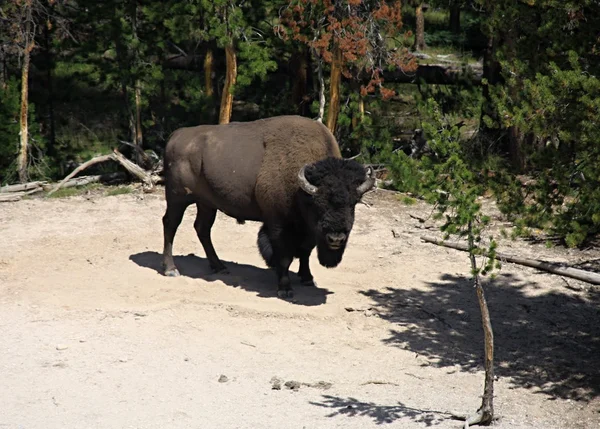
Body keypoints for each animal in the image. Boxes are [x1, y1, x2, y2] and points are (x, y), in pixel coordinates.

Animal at [159, 115, 376, 300]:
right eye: (319, 203)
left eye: (353, 203)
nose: (336, 239)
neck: (302, 191)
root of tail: (176, 135)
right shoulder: (278, 223)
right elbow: (284, 255)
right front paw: (285, 288)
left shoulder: (308, 231)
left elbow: (305, 252)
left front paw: (307, 278)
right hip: (177, 197)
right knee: (170, 224)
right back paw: (171, 269)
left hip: (206, 203)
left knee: (202, 228)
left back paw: (219, 266)